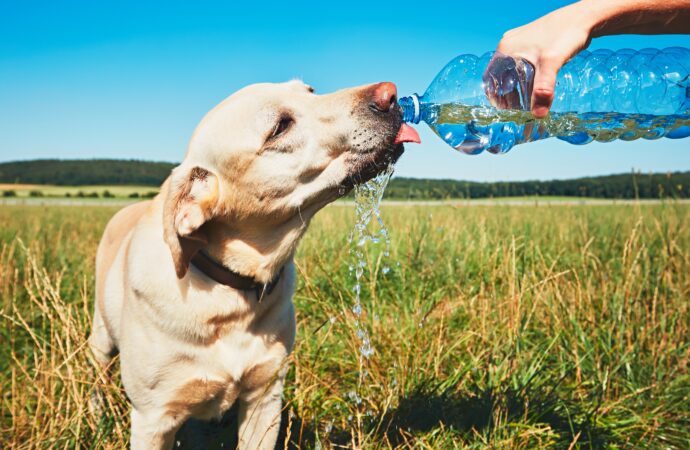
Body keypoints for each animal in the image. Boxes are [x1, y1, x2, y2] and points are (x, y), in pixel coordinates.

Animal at [87, 79, 420, 448]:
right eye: (280, 127)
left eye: (310, 91)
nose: (390, 94)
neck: (229, 293)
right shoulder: (153, 419)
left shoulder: (265, 397)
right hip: (100, 339)